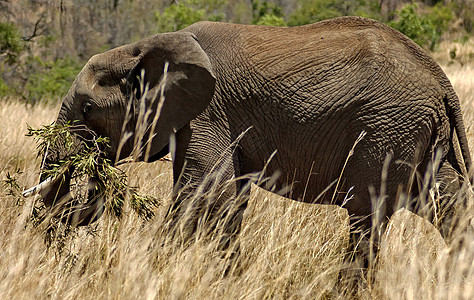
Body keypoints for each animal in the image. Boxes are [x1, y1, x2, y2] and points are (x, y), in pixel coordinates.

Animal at [26, 15, 470, 246]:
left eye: (87, 109)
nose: (93, 170)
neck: (143, 48)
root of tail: (440, 78)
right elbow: (228, 199)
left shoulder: (209, 114)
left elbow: (204, 195)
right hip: (421, 138)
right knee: (451, 205)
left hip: (386, 130)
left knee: (367, 216)